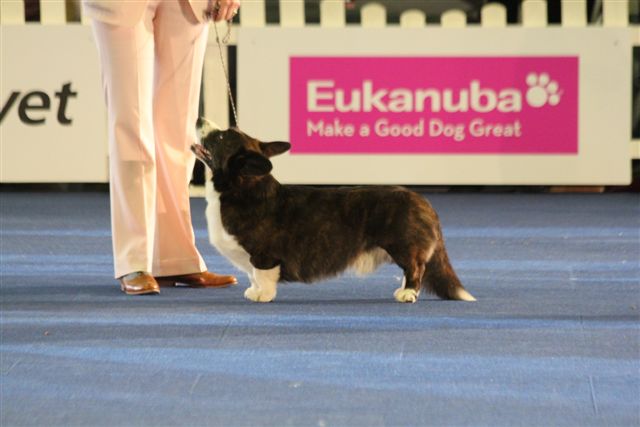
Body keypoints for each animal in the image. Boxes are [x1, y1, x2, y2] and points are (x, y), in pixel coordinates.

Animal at [192, 118, 476, 304]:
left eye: (220, 137)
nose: (198, 118)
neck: (241, 187)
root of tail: (424, 202)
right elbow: (253, 276)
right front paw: (254, 291)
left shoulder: (263, 255)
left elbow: (261, 275)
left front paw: (262, 295)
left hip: (403, 245)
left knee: (415, 268)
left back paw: (408, 294)